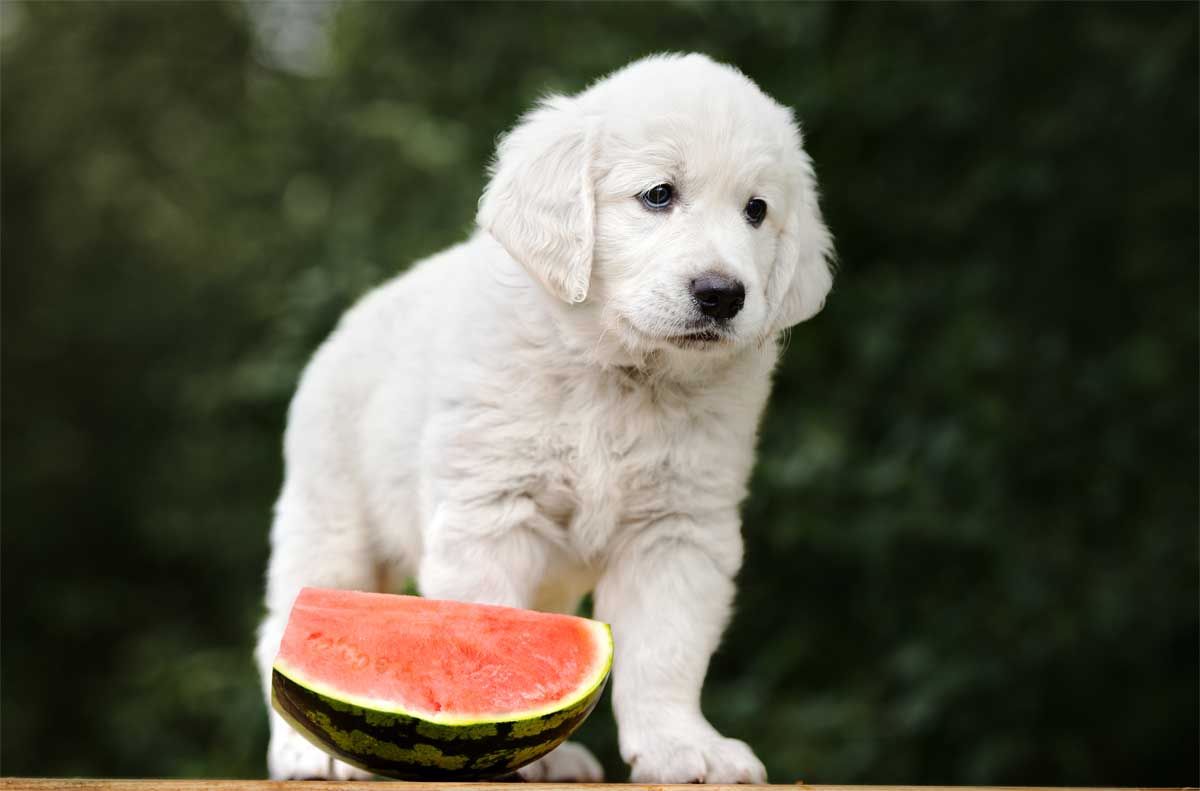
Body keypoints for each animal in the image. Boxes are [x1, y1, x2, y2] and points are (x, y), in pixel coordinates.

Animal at [253, 52, 835, 782]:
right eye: (658, 195)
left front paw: (682, 746)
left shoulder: (678, 528)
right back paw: (306, 748)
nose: (722, 294)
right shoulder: (491, 507)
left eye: (757, 210)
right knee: (288, 621)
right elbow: (486, 626)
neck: (618, 372)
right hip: (331, 514)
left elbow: (664, 652)